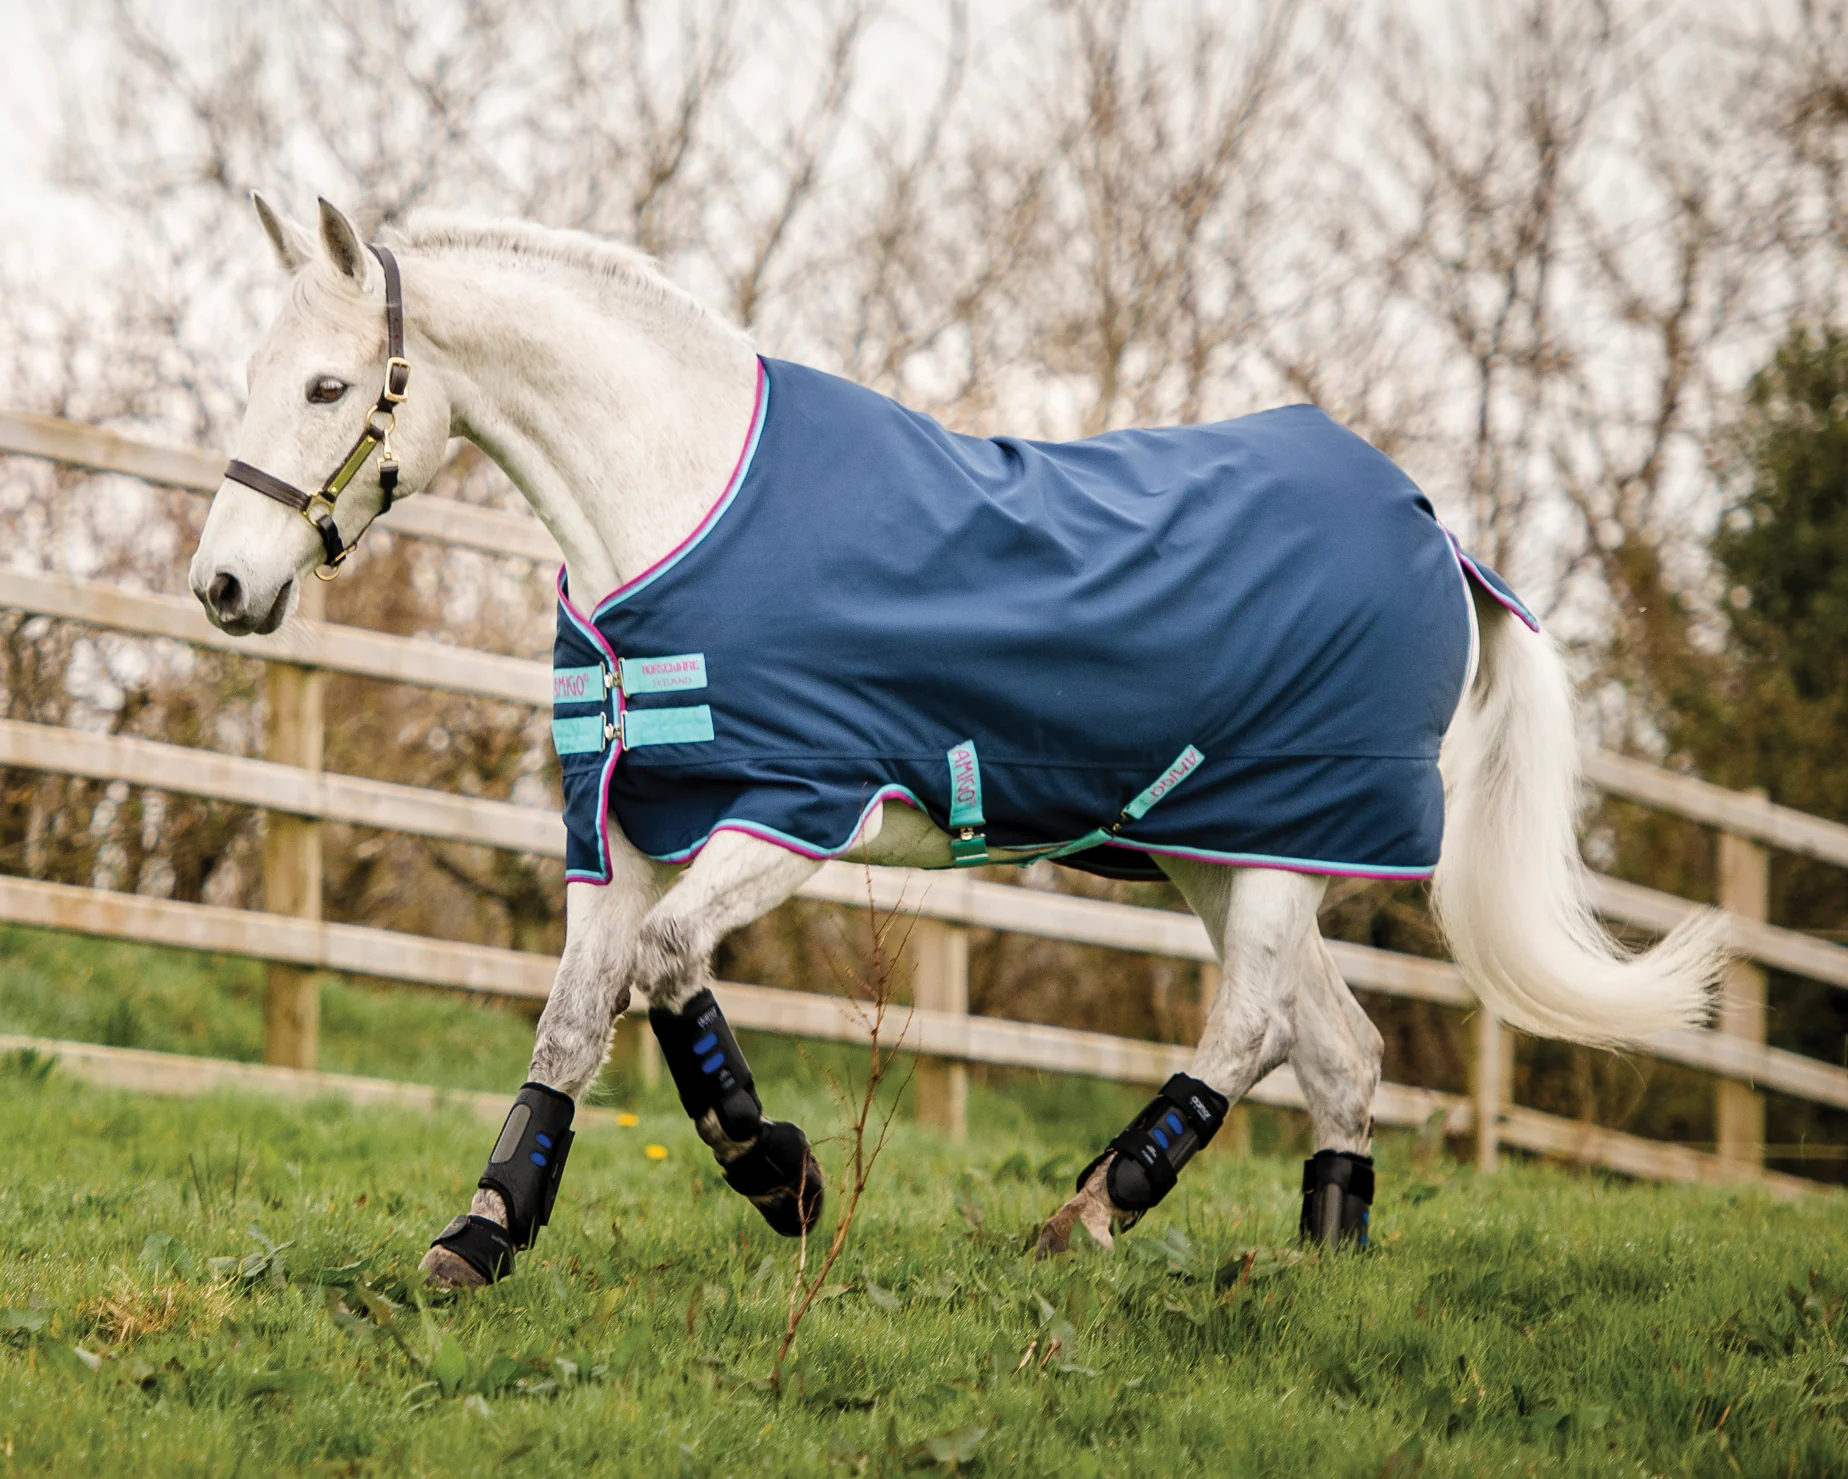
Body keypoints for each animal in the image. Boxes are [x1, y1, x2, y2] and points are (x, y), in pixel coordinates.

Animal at [187, 195, 1723, 1287]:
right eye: (255, 373)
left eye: (328, 388)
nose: (223, 586)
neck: (680, 502)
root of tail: (1438, 532)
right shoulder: (617, 821)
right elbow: (577, 1013)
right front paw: (483, 1232)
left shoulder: (797, 806)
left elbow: (665, 968)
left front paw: (780, 1174)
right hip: (1221, 850)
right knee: (1339, 1048)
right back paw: (1322, 1272)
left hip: (1293, 842)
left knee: (1250, 1029)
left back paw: (1086, 1218)